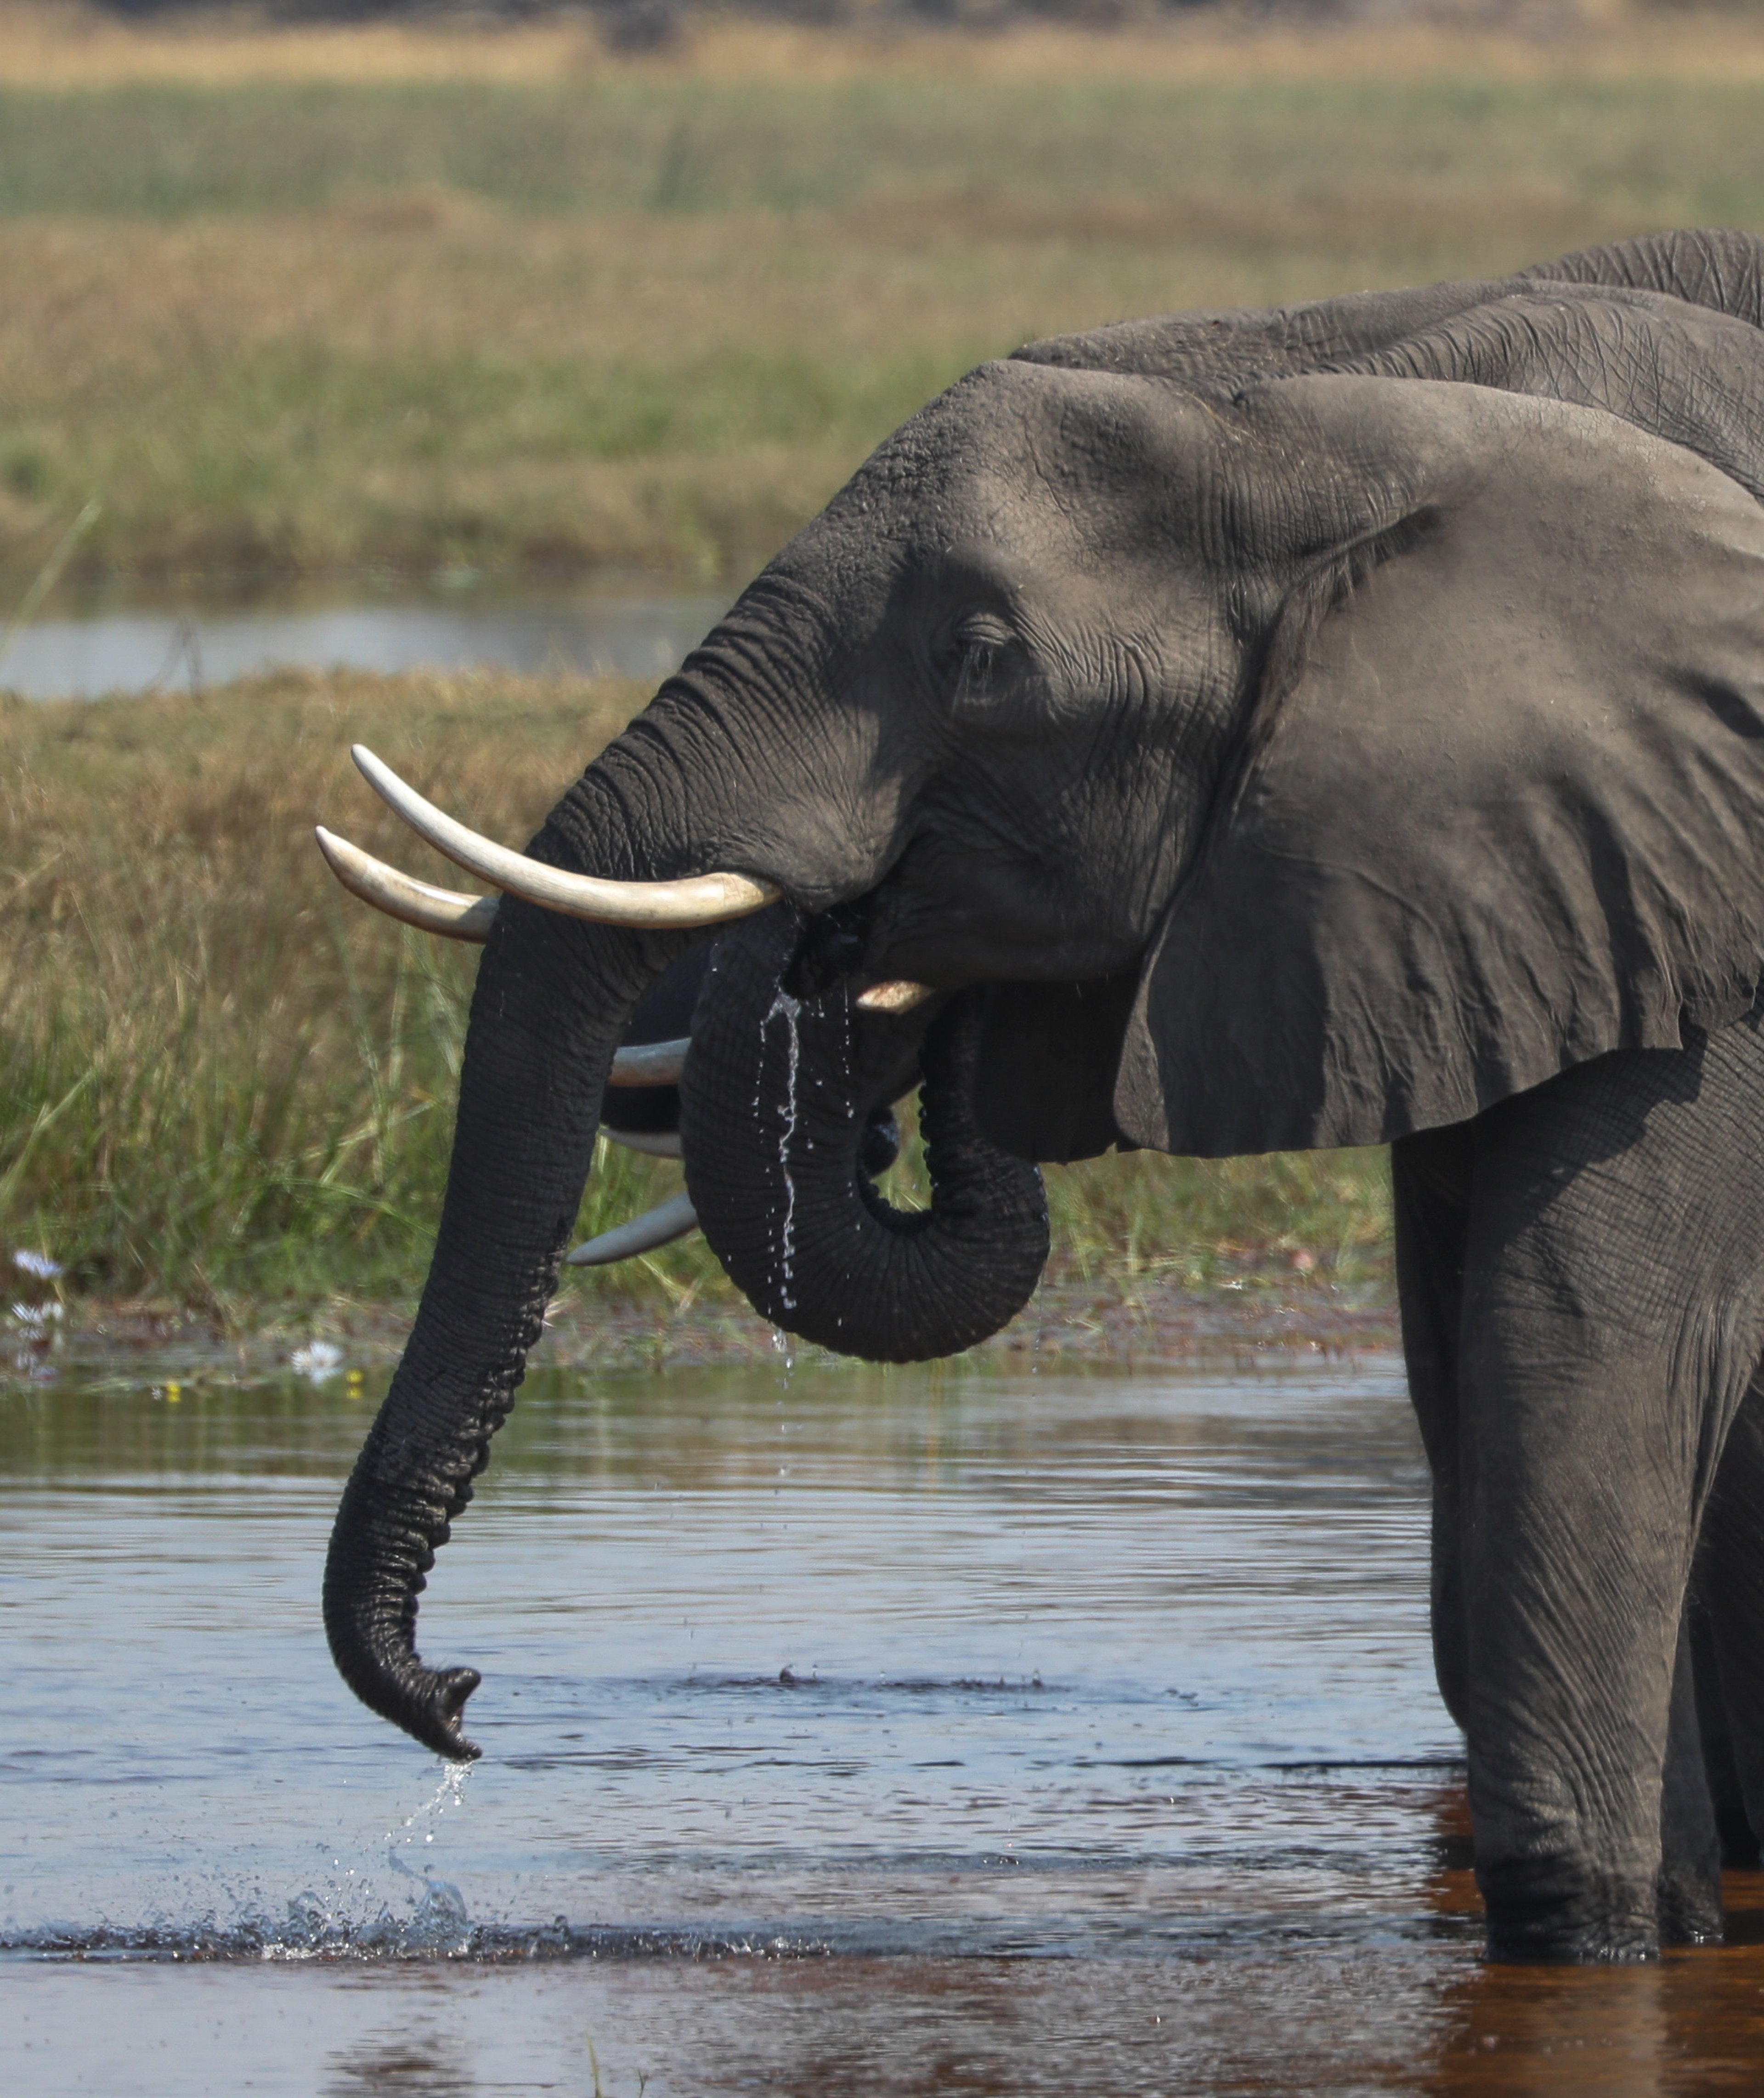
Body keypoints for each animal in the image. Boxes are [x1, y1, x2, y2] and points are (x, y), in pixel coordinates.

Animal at [317, 234, 1764, 1963]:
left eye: (982, 655)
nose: (463, 1699)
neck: (1338, 411)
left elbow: (1577, 1336)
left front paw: (1587, 1940)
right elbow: (1471, 1346)